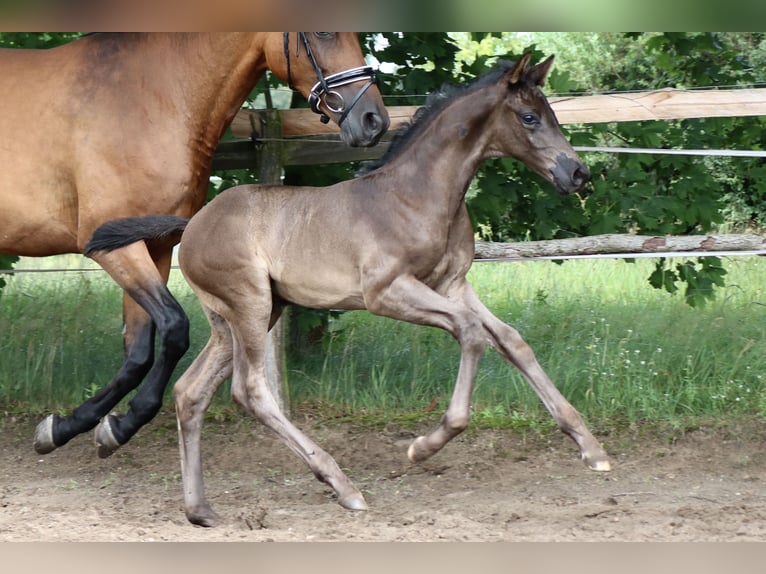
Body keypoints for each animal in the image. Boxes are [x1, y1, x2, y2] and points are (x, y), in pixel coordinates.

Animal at [0, 35, 390, 460]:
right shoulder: (111, 247)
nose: (374, 120)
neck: (150, 95)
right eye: (322, 35)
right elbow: (174, 328)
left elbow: (139, 349)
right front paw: (90, 425)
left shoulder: (153, 248)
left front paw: (97, 426)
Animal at [87, 54, 608, 528]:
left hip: (245, 315)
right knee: (250, 390)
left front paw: (591, 446)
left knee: (191, 391)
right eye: (529, 117)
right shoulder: (386, 292)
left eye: (552, 113)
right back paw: (343, 487)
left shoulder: (453, 284)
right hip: (249, 304)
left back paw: (201, 510)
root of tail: (192, 223)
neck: (417, 196)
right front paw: (424, 445)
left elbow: (511, 340)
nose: (577, 173)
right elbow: (470, 332)